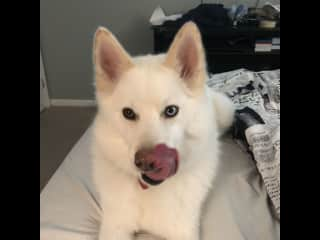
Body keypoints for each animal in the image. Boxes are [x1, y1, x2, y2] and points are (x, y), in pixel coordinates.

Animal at [91, 21, 234, 239]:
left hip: (227, 113)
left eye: (171, 110)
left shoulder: (184, 230)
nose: (147, 162)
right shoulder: (114, 227)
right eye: (128, 113)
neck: (150, 190)